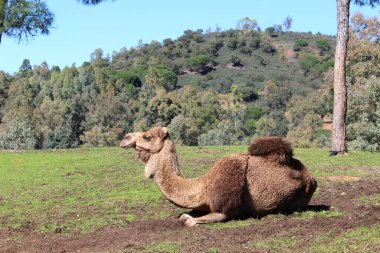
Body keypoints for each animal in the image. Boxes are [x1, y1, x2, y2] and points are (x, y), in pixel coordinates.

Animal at [120, 127, 316, 226]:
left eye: (147, 136)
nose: (125, 138)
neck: (203, 186)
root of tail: (311, 178)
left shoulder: (225, 208)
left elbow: (192, 221)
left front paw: (189, 219)